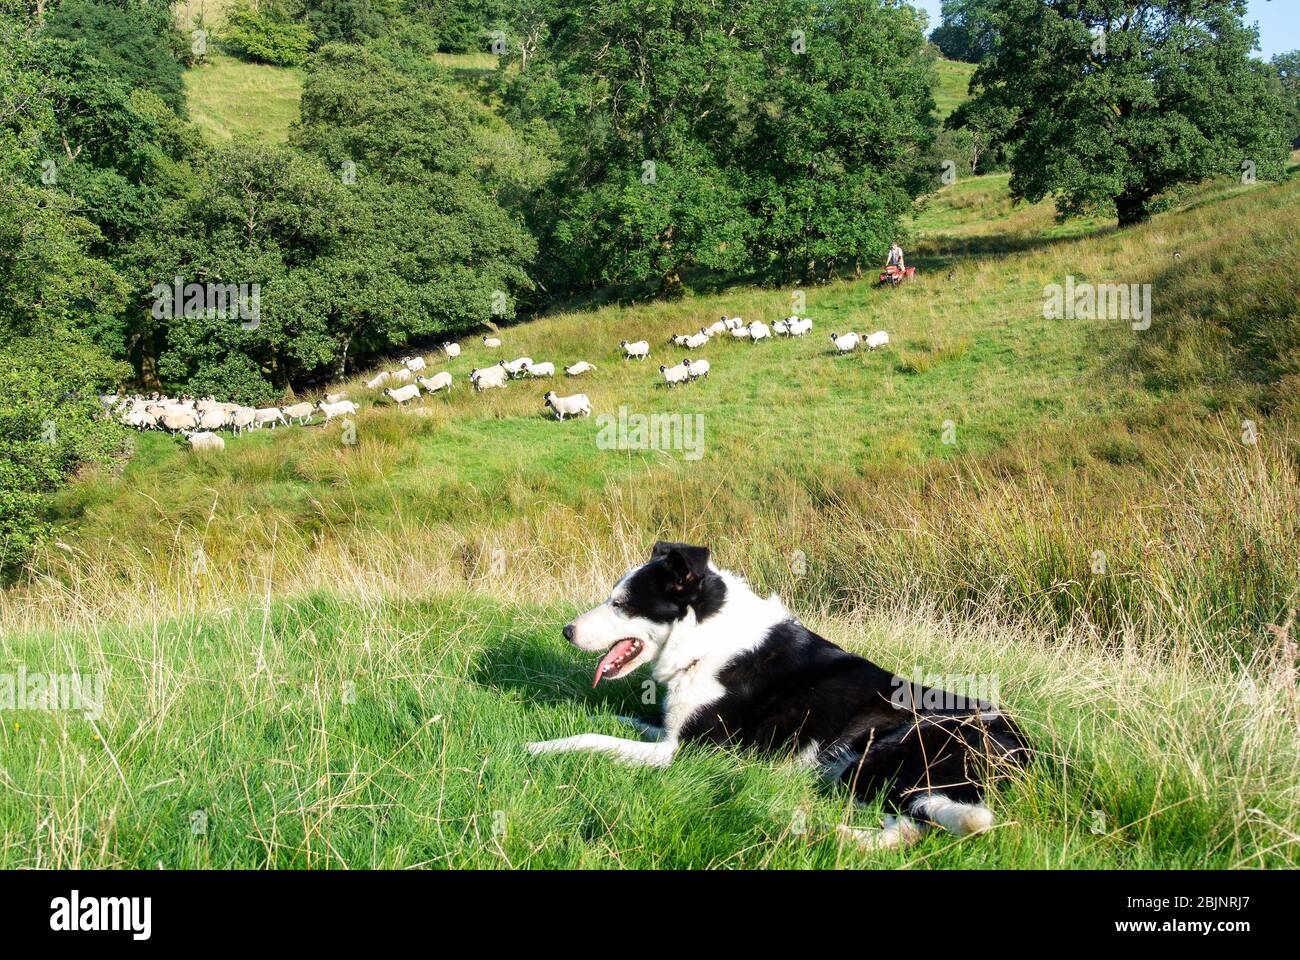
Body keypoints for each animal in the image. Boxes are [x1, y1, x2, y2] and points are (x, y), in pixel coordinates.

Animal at [522, 538, 1029, 842]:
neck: (707, 641)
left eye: (622, 604)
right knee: (907, 828)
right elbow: (616, 720)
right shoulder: (670, 733)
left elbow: (596, 740)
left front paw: (539, 745)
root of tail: (1026, 752)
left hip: (882, 754)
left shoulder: (688, 751)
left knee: (914, 822)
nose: (566, 632)